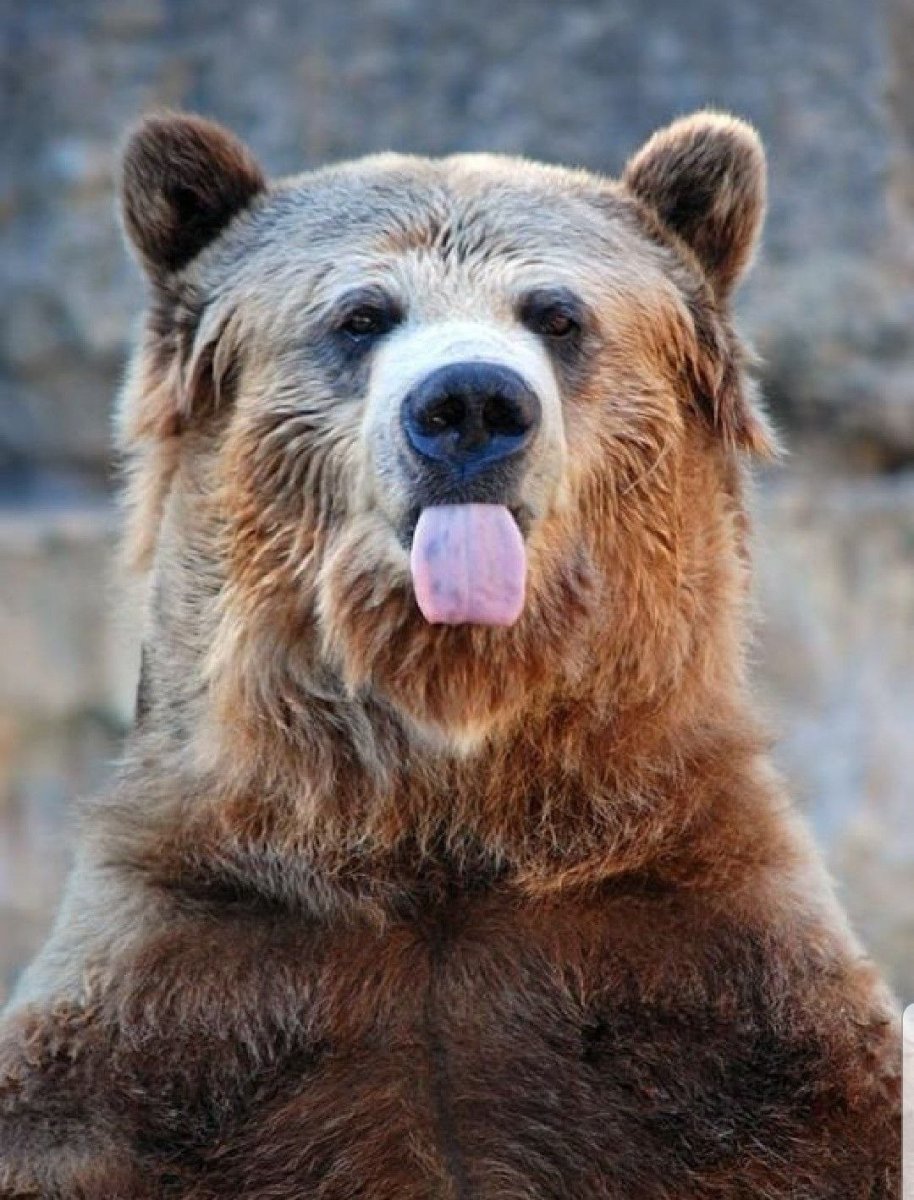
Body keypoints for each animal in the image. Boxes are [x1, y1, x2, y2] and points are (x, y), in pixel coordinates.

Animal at [0, 110, 900, 1198]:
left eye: (556, 314)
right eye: (361, 314)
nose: (470, 402)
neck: (446, 813)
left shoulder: (722, 983)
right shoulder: (177, 988)